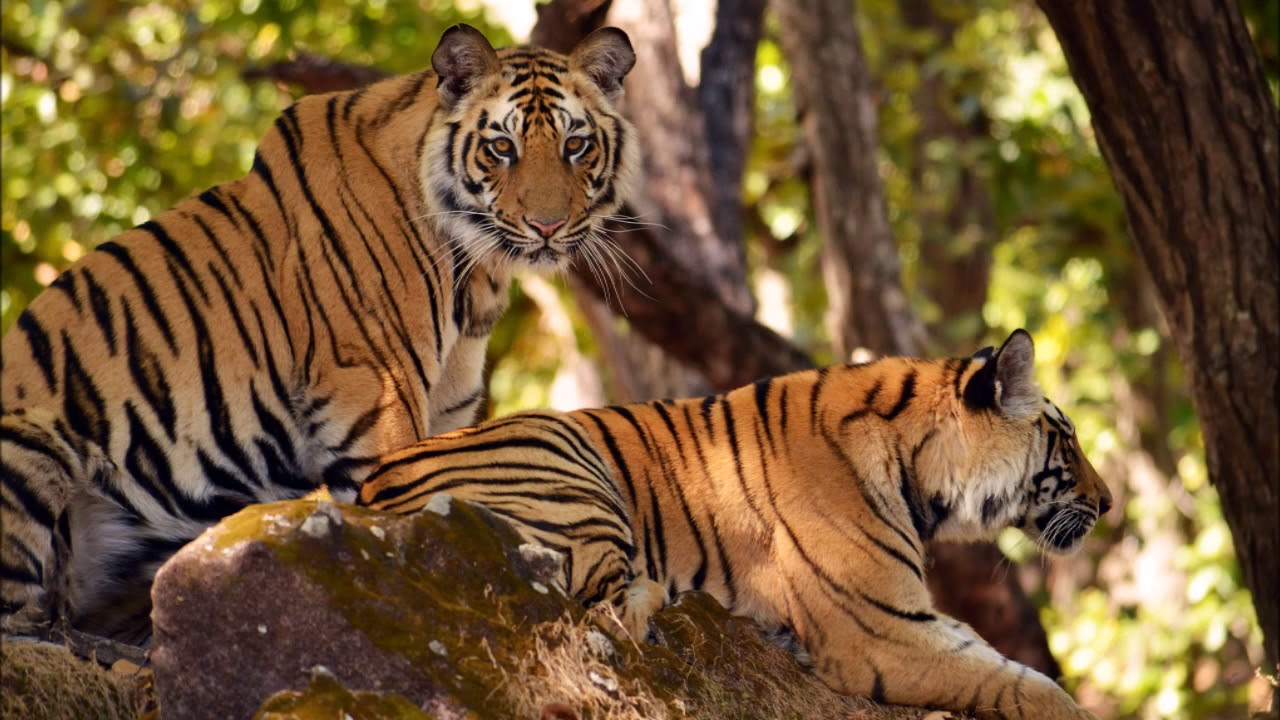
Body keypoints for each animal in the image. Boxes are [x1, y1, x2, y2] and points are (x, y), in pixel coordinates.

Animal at [0, 24, 640, 643]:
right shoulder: (379, 397)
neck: (476, 275)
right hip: (31, 444)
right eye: (502, 146)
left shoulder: (447, 416)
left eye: (575, 144)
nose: (548, 226)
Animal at [359, 329, 1112, 720]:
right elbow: (1025, 684)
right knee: (601, 600)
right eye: (1067, 441)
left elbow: (997, 660)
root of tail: (370, 484)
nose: (1108, 504)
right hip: (563, 455)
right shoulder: (881, 631)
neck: (917, 465)